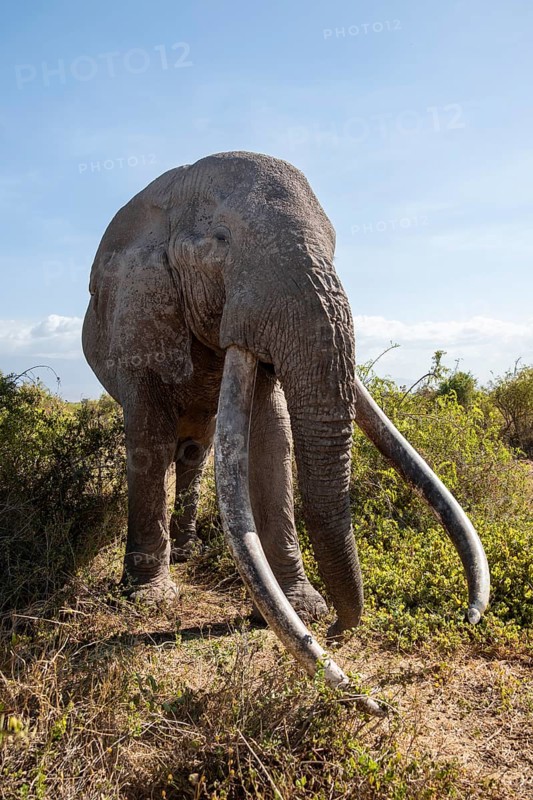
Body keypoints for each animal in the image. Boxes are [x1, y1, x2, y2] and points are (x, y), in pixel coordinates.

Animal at [82, 151, 489, 708]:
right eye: (220, 242)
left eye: (335, 245)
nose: (337, 631)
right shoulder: (139, 307)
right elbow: (148, 438)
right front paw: (148, 600)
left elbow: (272, 440)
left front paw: (304, 607)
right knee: (176, 449)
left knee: (195, 450)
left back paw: (190, 552)